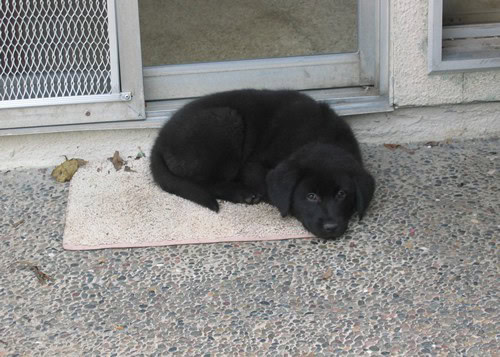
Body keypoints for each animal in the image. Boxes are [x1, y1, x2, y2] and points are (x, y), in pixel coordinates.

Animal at [150, 89, 374, 239]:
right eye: (311, 196)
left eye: (342, 194)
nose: (330, 227)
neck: (319, 136)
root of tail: (159, 140)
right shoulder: (252, 166)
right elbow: (269, 188)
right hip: (226, 122)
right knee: (207, 182)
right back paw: (242, 193)